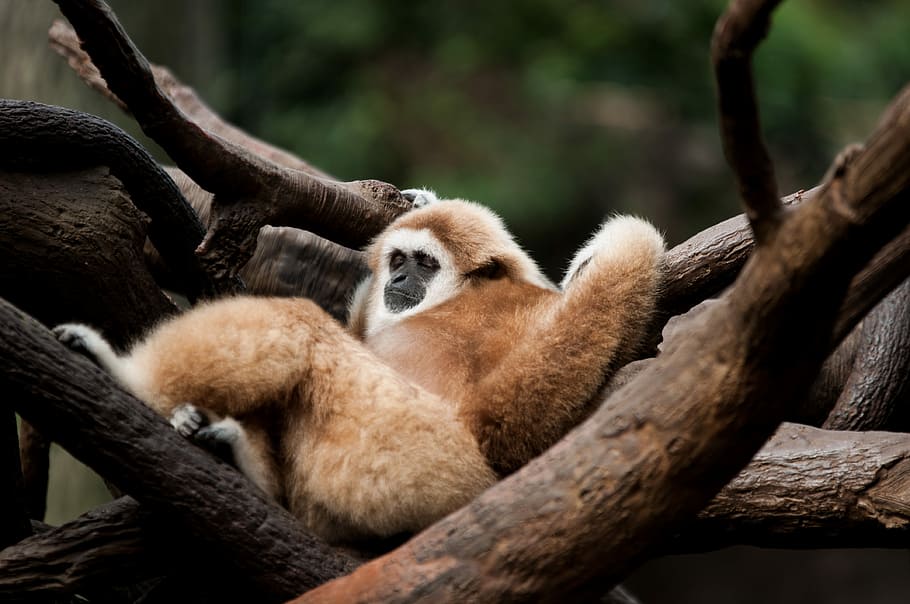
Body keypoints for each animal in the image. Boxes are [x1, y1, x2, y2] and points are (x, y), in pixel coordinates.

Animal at [54, 189, 665, 544]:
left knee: (302, 326)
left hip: (405, 458)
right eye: (398, 260)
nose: (398, 278)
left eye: (424, 264)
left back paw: (122, 375)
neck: (458, 297)